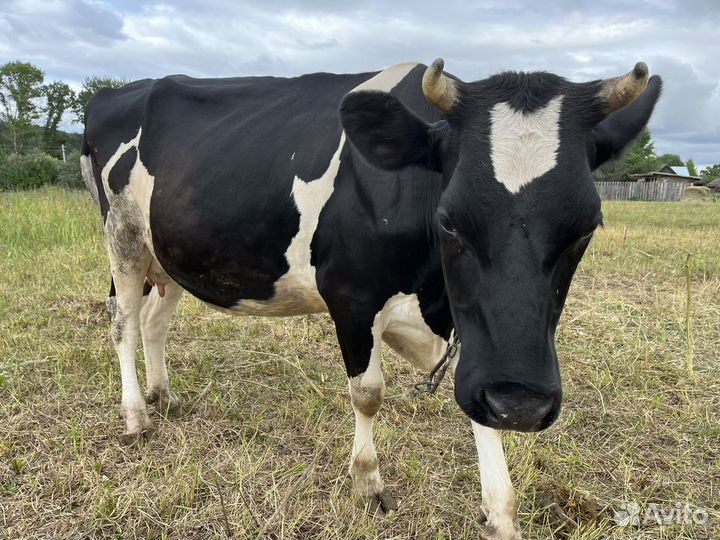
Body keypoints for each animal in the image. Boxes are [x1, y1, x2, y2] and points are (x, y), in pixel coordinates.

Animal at [81, 59, 661, 539]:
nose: (522, 404)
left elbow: (477, 406)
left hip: (171, 252)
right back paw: (136, 414)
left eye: (587, 227)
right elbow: (368, 392)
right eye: (449, 220)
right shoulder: (352, 298)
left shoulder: (477, 337)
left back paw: (163, 394)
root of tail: (118, 91)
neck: (434, 300)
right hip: (122, 235)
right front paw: (368, 482)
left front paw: (501, 512)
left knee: (154, 321)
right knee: (122, 320)